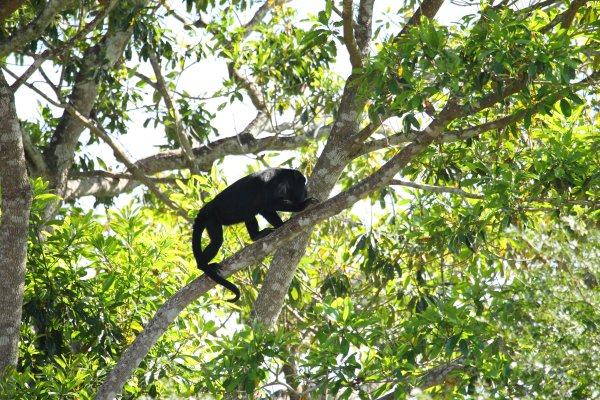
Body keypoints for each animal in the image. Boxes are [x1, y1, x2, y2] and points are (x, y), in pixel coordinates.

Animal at [192, 168, 317, 302]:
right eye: (303, 183)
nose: (306, 191)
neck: (287, 178)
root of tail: (204, 210)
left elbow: (265, 209)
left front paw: (281, 225)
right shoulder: (279, 184)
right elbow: (272, 203)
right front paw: (303, 205)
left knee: (250, 213)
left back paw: (256, 236)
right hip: (211, 217)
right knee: (217, 240)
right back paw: (204, 265)